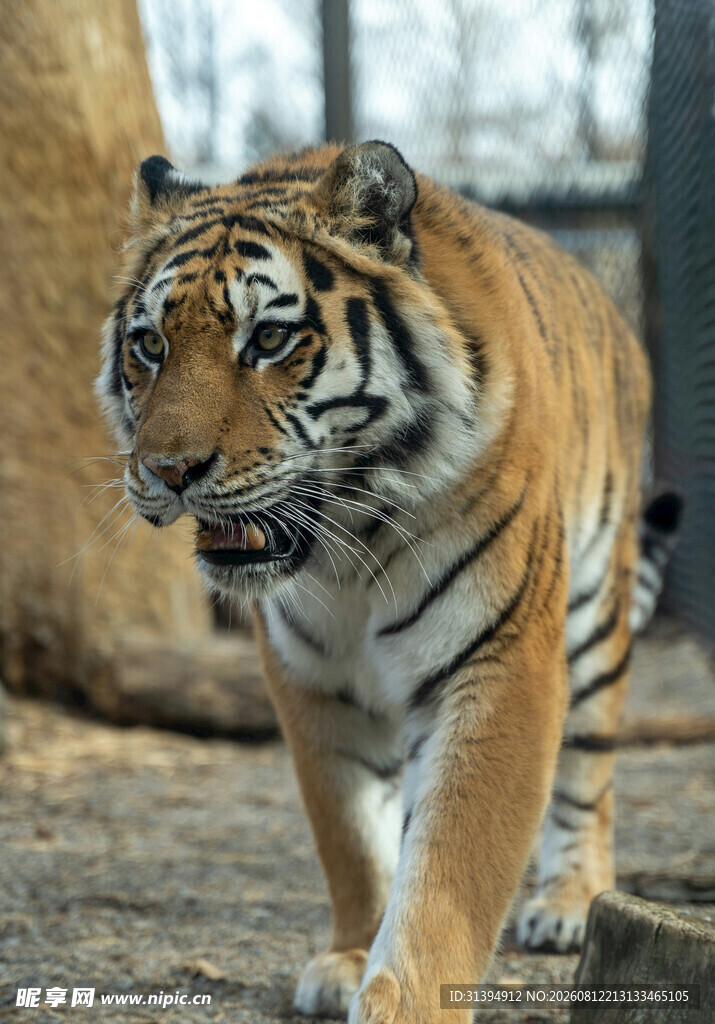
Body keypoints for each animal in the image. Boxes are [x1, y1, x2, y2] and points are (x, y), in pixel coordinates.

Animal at [97, 141, 680, 1023]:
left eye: (269, 338)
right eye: (151, 345)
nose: (167, 471)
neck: (348, 548)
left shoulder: (498, 659)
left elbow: (452, 863)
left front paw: (406, 1003)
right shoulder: (310, 679)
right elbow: (350, 835)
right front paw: (349, 957)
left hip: (594, 614)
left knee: (588, 772)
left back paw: (568, 903)